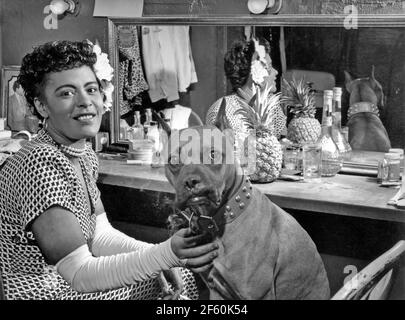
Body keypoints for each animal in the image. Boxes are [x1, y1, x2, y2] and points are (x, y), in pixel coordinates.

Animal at [155, 102, 328, 300]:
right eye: (173, 161)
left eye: (213, 154)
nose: (191, 181)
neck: (224, 216)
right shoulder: (216, 290)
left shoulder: (258, 294)